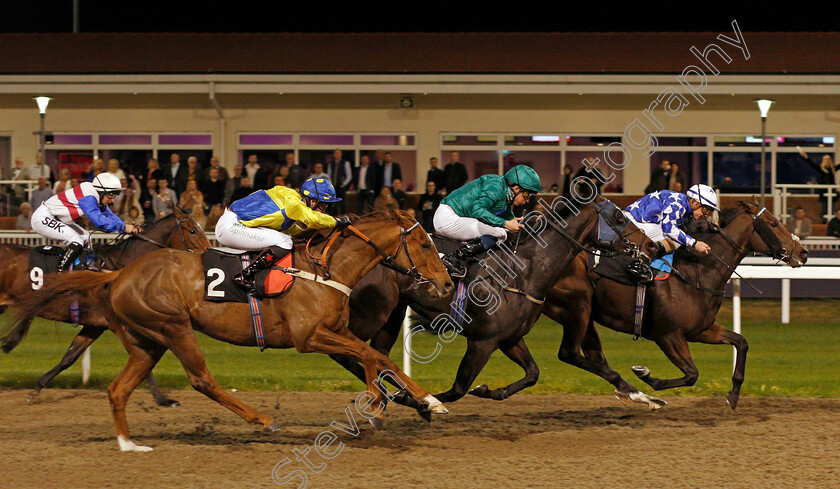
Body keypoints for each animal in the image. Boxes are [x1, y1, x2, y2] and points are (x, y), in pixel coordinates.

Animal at [0, 206, 210, 404]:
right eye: (192, 231)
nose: (207, 255)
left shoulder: (95, 325)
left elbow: (69, 357)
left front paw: (37, 387)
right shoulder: (119, 323)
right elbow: (144, 362)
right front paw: (163, 399)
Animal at [334, 194, 656, 404]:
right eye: (618, 217)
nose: (651, 246)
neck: (523, 272)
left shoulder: (509, 338)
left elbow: (533, 373)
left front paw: (490, 391)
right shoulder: (482, 341)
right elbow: (457, 389)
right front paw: (424, 402)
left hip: (392, 313)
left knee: (376, 355)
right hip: (371, 313)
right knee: (346, 351)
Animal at [540, 197, 812, 408]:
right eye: (774, 223)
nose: (803, 252)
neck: (697, 272)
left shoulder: (700, 330)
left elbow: (741, 342)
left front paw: (733, 395)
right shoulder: (668, 335)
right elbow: (692, 374)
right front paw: (646, 375)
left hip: (584, 315)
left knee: (593, 355)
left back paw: (629, 392)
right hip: (577, 307)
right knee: (572, 353)